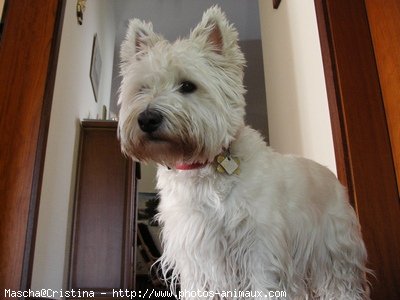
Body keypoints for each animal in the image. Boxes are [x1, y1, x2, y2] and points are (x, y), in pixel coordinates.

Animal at [117, 5, 370, 298]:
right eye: (142, 88)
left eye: (188, 85)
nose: (147, 119)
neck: (202, 167)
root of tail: (330, 174)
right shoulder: (197, 256)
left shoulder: (260, 249)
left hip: (333, 255)